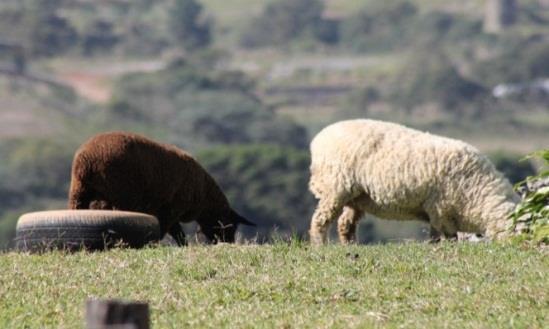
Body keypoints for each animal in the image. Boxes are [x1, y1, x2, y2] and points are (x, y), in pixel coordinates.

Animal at [67, 131, 254, 243]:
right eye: (230, 225)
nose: (228, 243)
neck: (204, 196)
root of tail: (87, 159)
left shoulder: (167, 211)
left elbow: (178, 234)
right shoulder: (171, 210)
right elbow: (167, 231)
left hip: (80, 191)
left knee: (77, 211)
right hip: (120, 196)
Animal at [308, 118, 520, 243]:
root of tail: (319, 137)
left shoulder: (438, 211)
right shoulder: (440, 210)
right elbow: (445, 237)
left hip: (356, 196)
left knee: (345, 224)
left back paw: (350, 247)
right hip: (336, 188)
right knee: (319, 221)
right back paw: (320, 247)